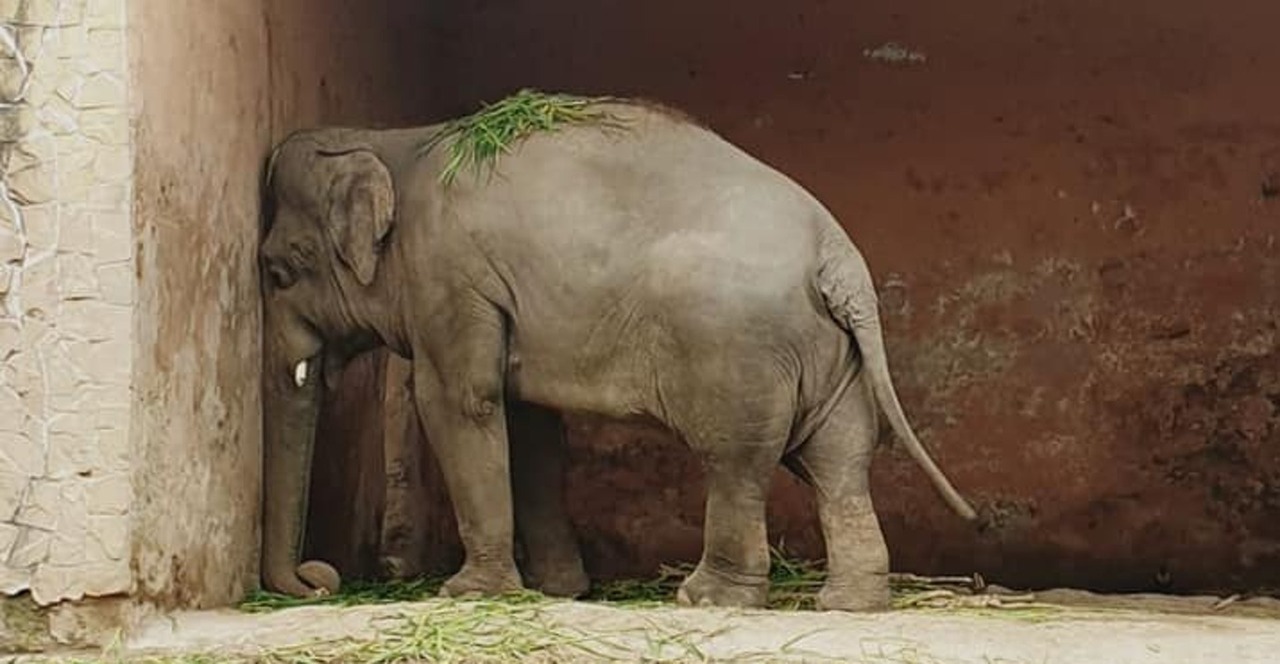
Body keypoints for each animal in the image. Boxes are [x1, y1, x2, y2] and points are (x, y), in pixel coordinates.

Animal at [262, 98, 977, 614]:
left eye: (278, 269)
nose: (318, 577)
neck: (390, 141)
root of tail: (837, 253)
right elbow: (529, 426)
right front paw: (558, 591)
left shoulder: (450, 274)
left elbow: (459, 403)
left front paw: (468, 593)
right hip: (830, 353)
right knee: (840, 461)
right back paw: (847, 604)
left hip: (739, 349)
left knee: (737, 462)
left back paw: (707, 599)